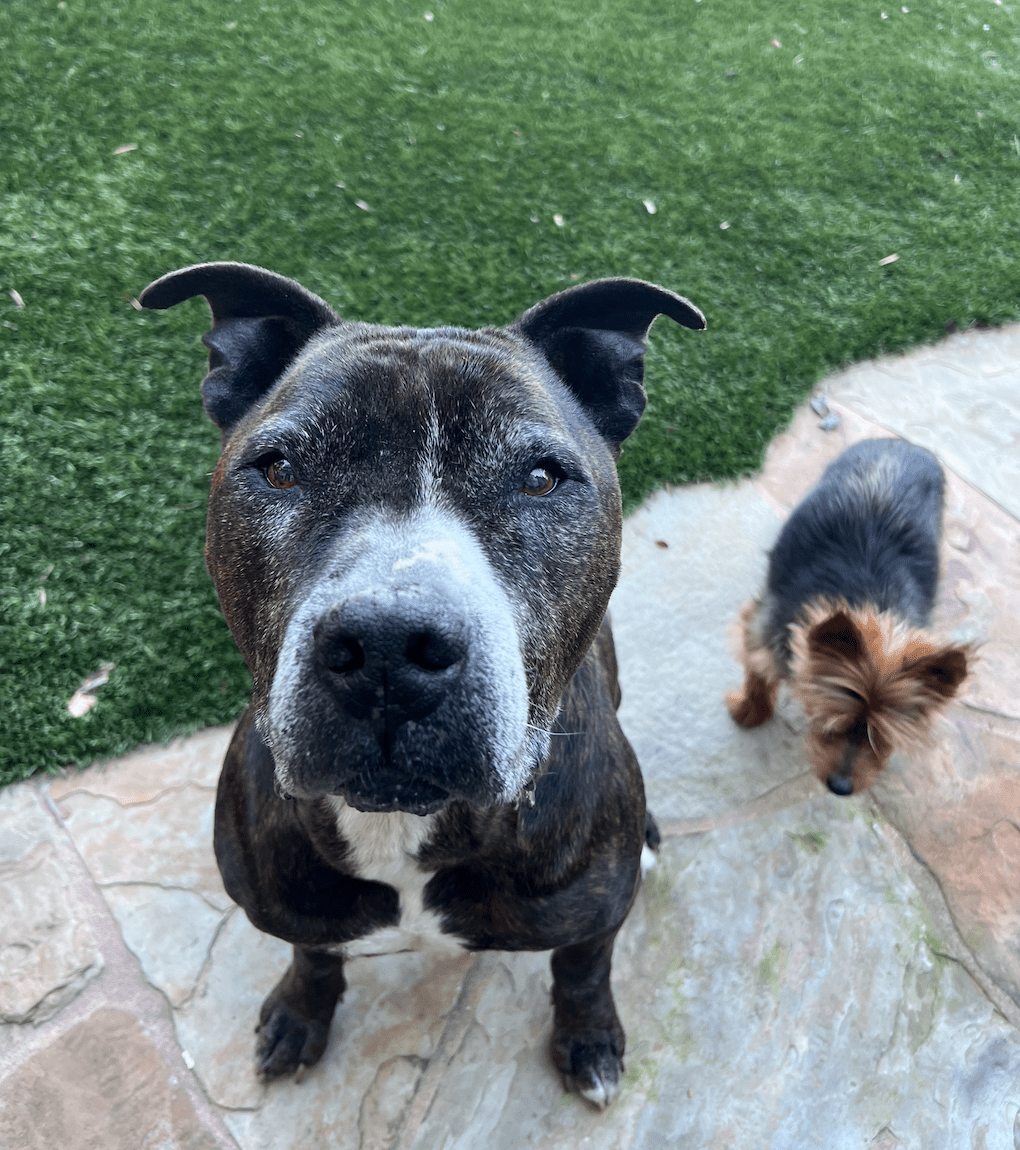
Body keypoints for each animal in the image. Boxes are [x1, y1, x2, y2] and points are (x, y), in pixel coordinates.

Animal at [139, 264, 703, 1108]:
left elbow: (583, 971)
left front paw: (589, 1038)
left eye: (540, 478)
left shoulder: (596, 914)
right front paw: (300, 1013)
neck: (403, 827)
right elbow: (313, 955)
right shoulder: (290, 907)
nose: (386, 647)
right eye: (280, 469)